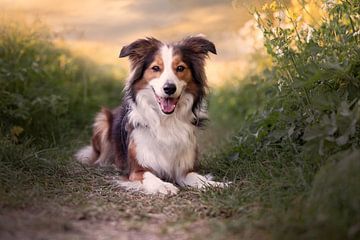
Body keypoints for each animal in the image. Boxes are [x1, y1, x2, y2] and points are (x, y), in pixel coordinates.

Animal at [75, 35, 225, 194]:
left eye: (180, 68)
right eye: (155, 68)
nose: (169, 88)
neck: (166, 120)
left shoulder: (185, 170)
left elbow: (199, 178)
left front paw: (216, 184)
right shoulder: (137, 170)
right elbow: (150, 176)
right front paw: (164, 185)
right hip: (102, 120)